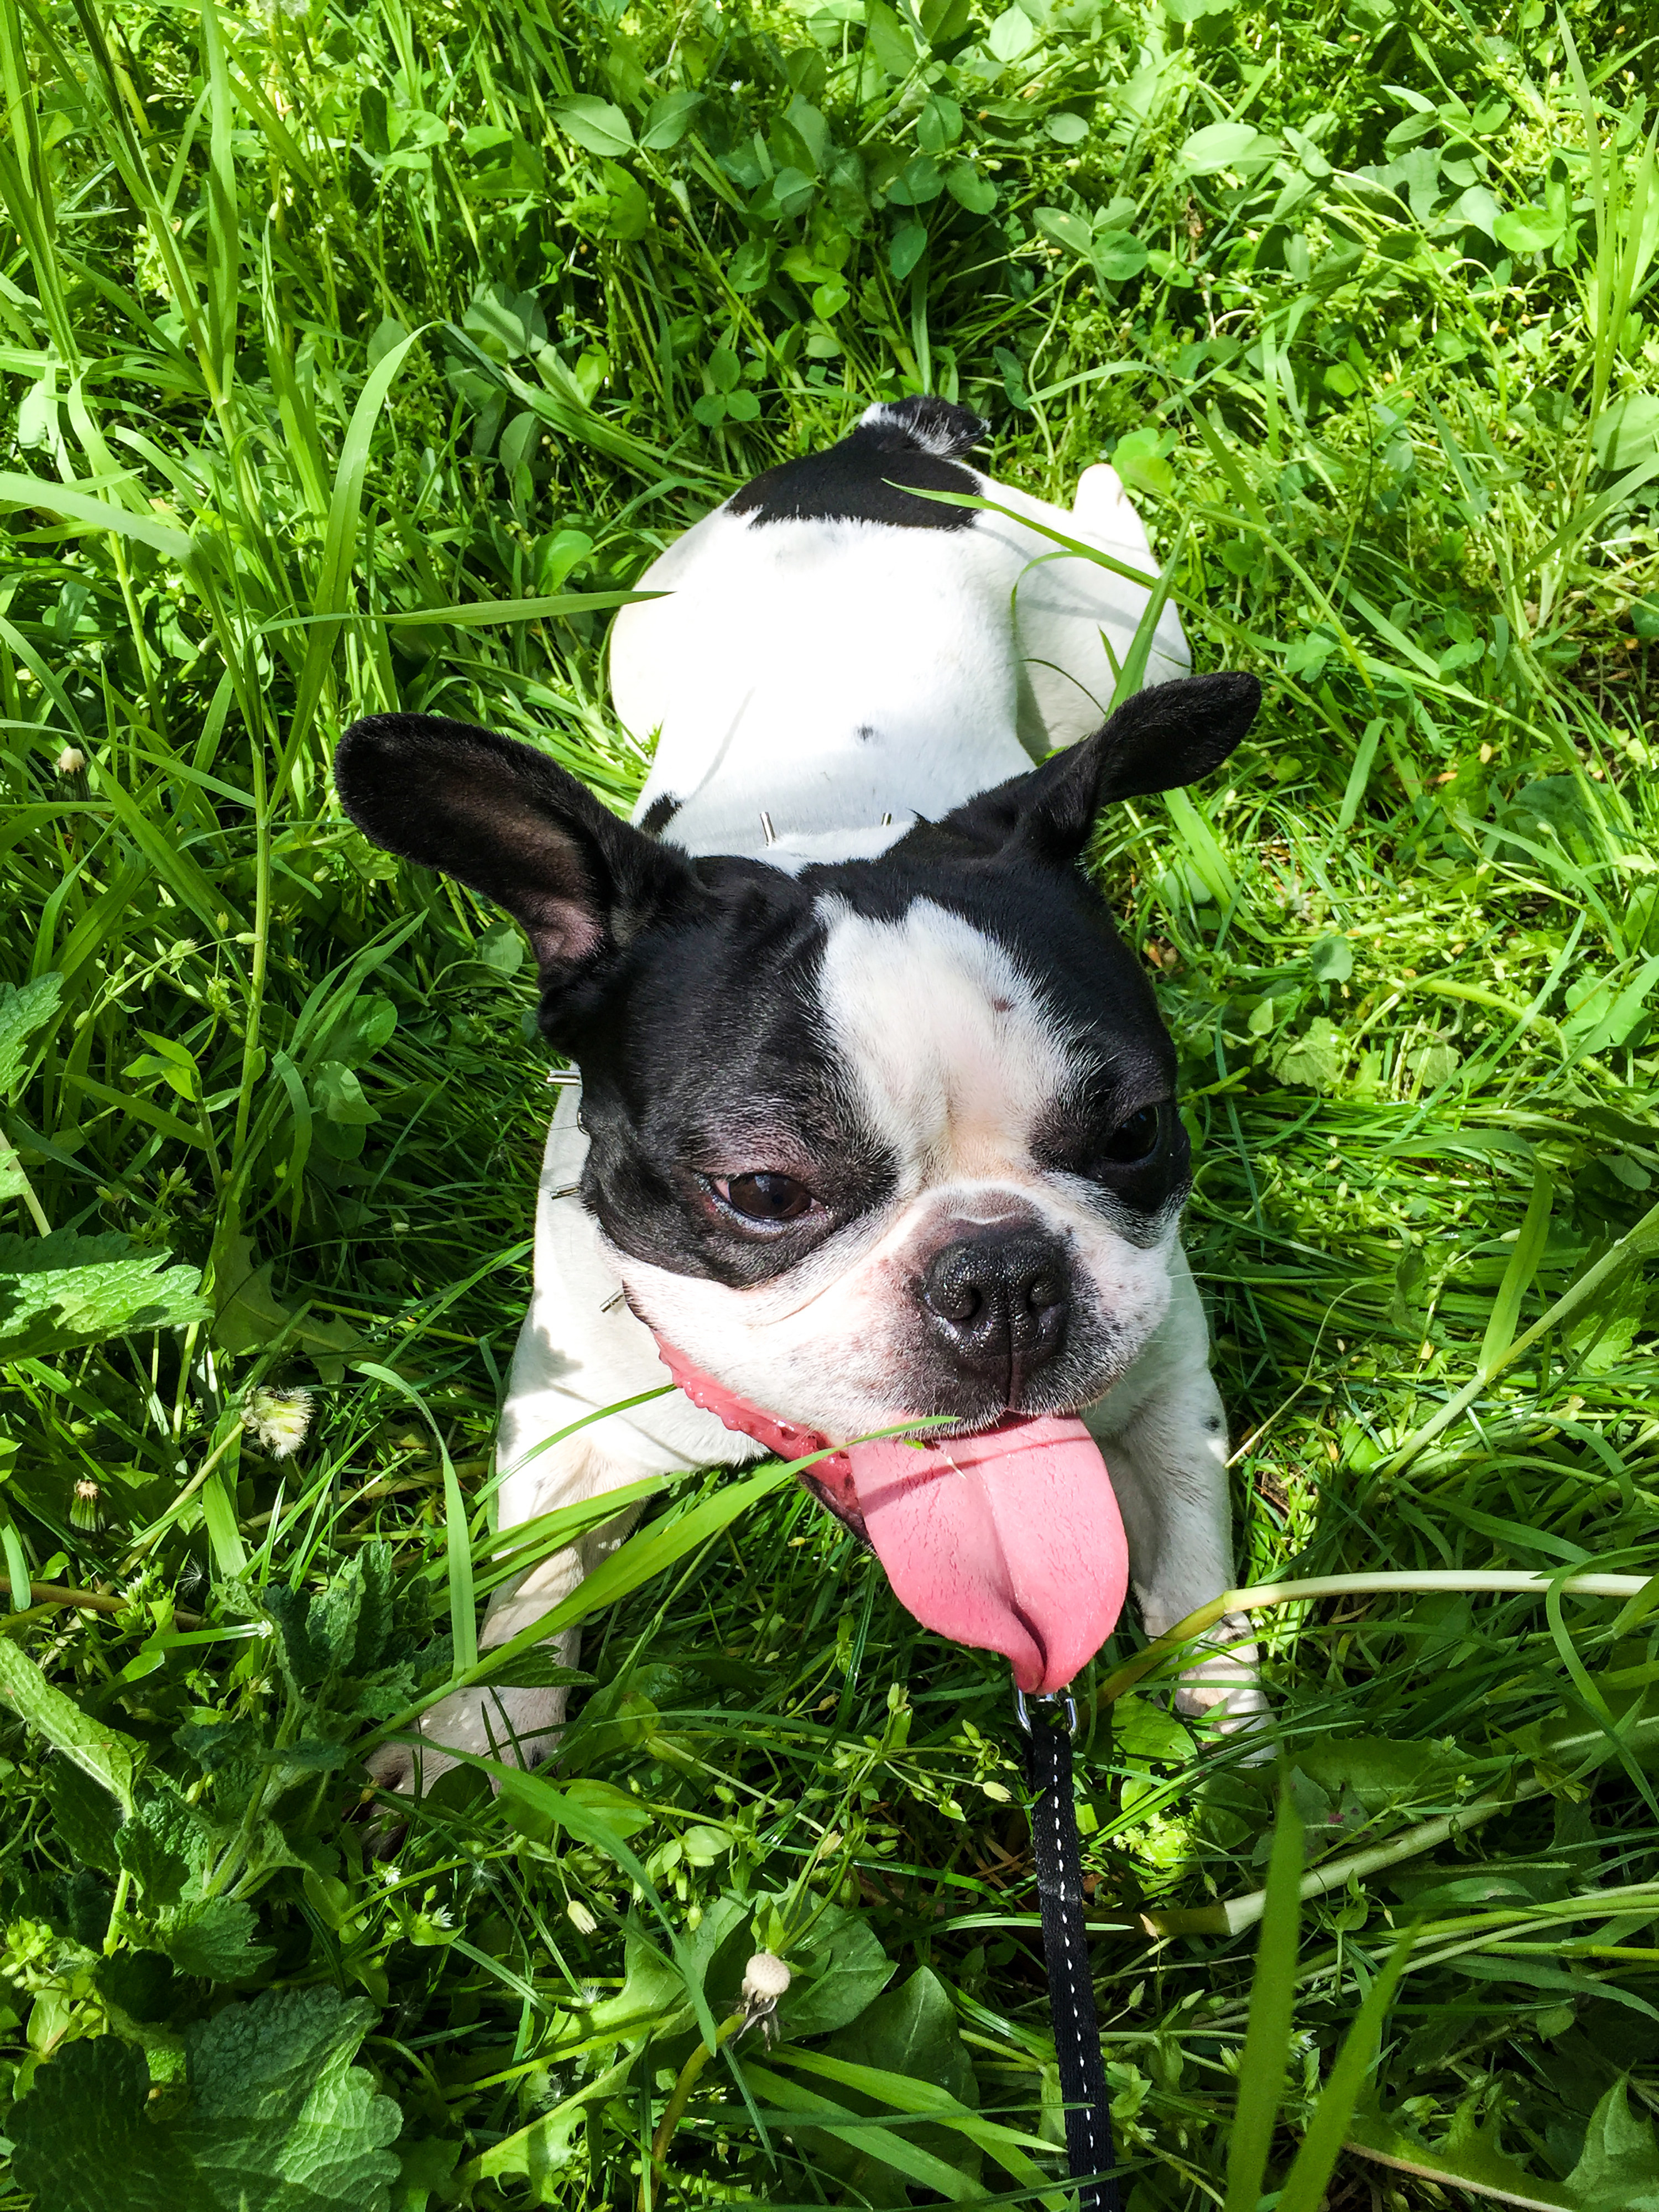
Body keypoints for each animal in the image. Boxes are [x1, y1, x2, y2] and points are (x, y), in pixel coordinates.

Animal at [341, 394, 1274, 1778]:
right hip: (641, 648)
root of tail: (886, 445)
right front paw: (475, 1739)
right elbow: (530, 1587)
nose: (1000, 1274)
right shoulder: (570, 1411)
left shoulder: (1164, 1379)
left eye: (1134, 1131)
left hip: (1115, 654)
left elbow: (1197, 1563)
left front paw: (1237, 1736)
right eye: (763, 1190)